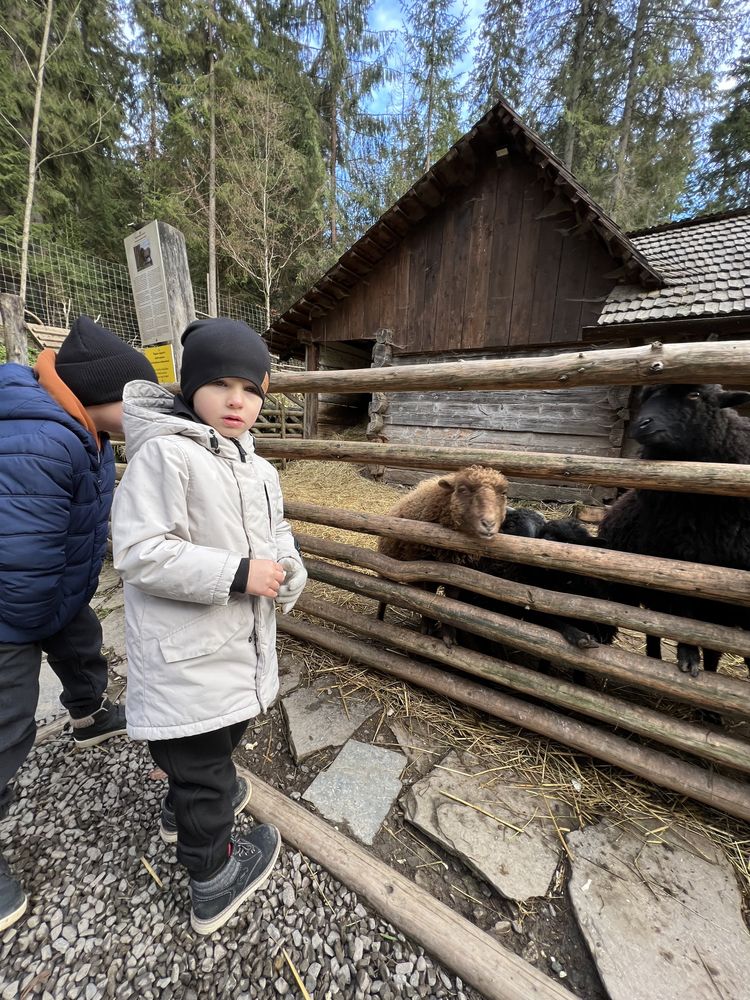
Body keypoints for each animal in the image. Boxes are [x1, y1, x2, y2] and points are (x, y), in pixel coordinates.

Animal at [600, 382, 750, 680]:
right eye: (647, 396)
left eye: (695, 395)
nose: (642, 424)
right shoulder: (677, 561)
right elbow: (683, 613)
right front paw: (688, 656)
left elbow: (715, 649)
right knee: (654, 628)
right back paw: (654, 656)